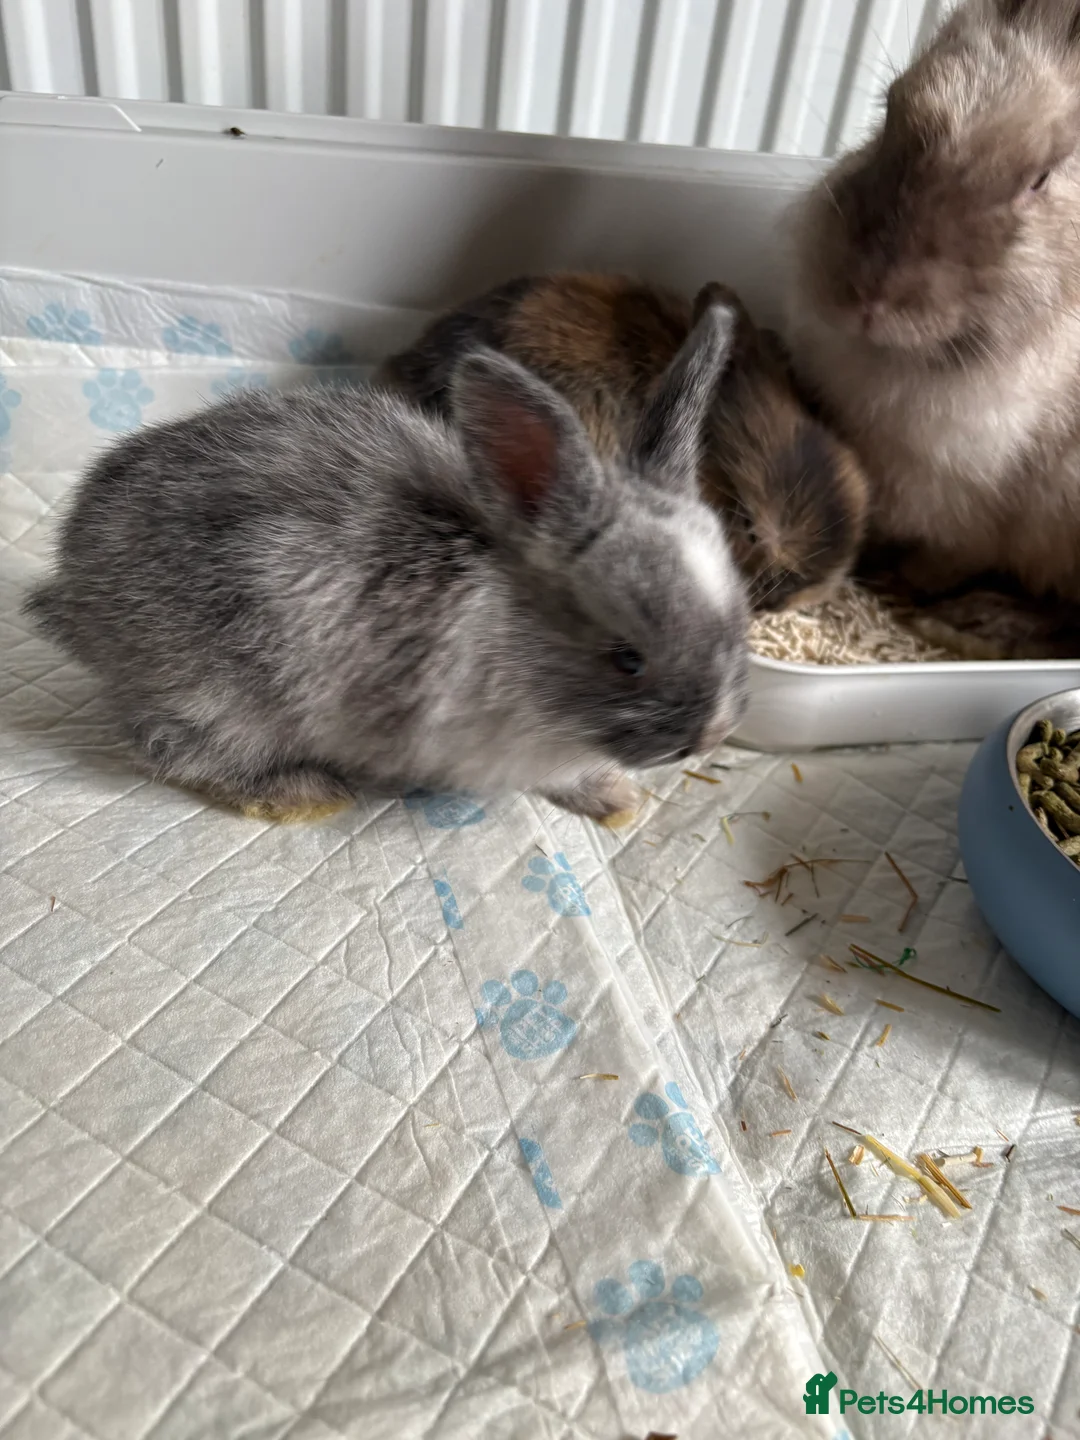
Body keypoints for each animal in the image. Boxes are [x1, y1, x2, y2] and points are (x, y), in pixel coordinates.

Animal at [23, 294, 749, 828]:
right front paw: (613, 799)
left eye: (738, 628)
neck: (512, 630)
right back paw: (302, 794)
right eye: (626, 659)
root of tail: (76, 595)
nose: (709, 738)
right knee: (171, 750)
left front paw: (618, 797)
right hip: (222, 698)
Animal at [787, 0, 1080, 606]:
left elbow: (955, 559)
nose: (868, 299)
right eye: (891, 104)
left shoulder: (983, 513)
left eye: (1040, 178)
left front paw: (910, 582)